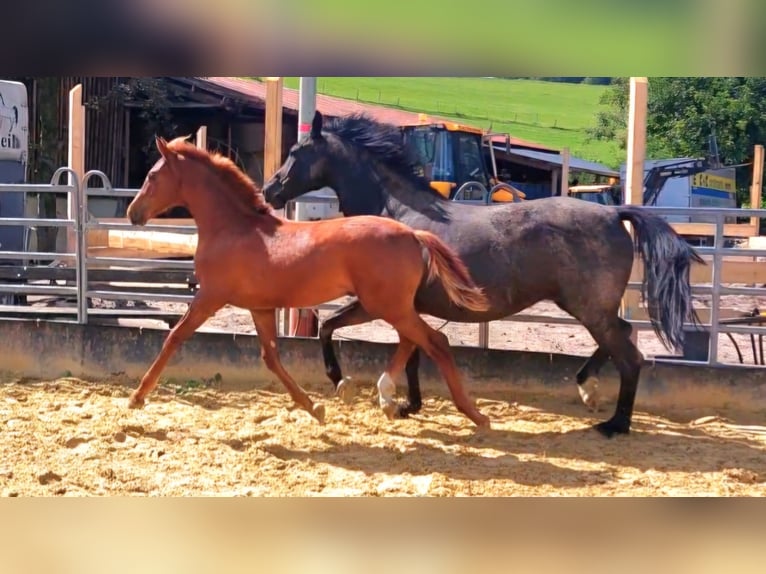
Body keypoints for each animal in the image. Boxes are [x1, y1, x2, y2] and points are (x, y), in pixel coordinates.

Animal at [260, 110, 704, 438]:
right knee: (621, 338)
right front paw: (408, 405)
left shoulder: (381, 304)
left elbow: (330, 327)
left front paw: (345, 382)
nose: (269, 190)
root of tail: (614, 212)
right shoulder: (410, 308)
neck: (397, 215)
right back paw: (587, 389)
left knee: (630, 356)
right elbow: (413, 354)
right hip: (593, 308)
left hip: (589, 308)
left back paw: (615, 423)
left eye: (296, 151)